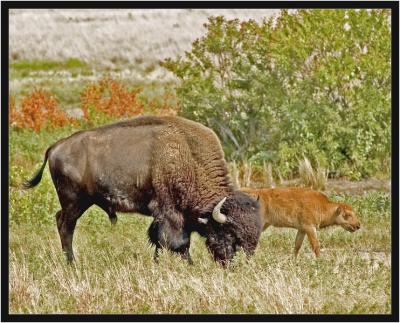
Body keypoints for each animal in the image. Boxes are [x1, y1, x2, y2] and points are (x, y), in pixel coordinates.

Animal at [25, 116, 262, 266]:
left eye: (255, 234)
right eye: (231, 233)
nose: (235, 265)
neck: (189, 157)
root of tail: (55, 147)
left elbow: (158, 239)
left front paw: (158, 262)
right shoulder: (169, 212)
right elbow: (178, 242)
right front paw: (189, 264)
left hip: (79, 202)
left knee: (61, 221)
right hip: (74, 201)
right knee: (66, 226)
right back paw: (72, 263)